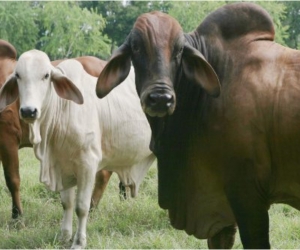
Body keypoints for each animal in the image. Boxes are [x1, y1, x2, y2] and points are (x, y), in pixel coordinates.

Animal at [0, 49, 155, 249]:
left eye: (46, 75)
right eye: (18, 76)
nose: (28, 111)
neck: (63, 109)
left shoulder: (87, 164)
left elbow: (81, 206)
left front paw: (79, 241)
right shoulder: (61, 163)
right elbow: (67, 203)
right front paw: (64, 236)